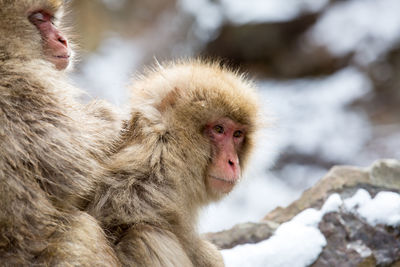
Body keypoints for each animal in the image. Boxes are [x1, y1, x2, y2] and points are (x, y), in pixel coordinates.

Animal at [0, 0, 122, 266]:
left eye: (51, 18)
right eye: (38, 18)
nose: (62, 39)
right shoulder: (27, 86)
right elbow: (74, 172)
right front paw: (107, 115)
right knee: (83, 228)